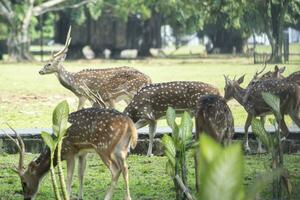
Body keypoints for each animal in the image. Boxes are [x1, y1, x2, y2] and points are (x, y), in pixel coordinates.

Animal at [6, 108, 137, 200]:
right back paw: (128, 197)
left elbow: (68, 176)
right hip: (121, 149)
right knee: (125, 168)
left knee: (116, 170)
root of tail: (129, 123)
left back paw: (107, 197)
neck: (56, 147)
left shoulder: (69, 151)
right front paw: (80, 197)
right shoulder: (82, 153)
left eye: (24, 182)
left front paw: (67, 196)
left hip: (104, 147)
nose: (27, 198)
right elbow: (81, 174)